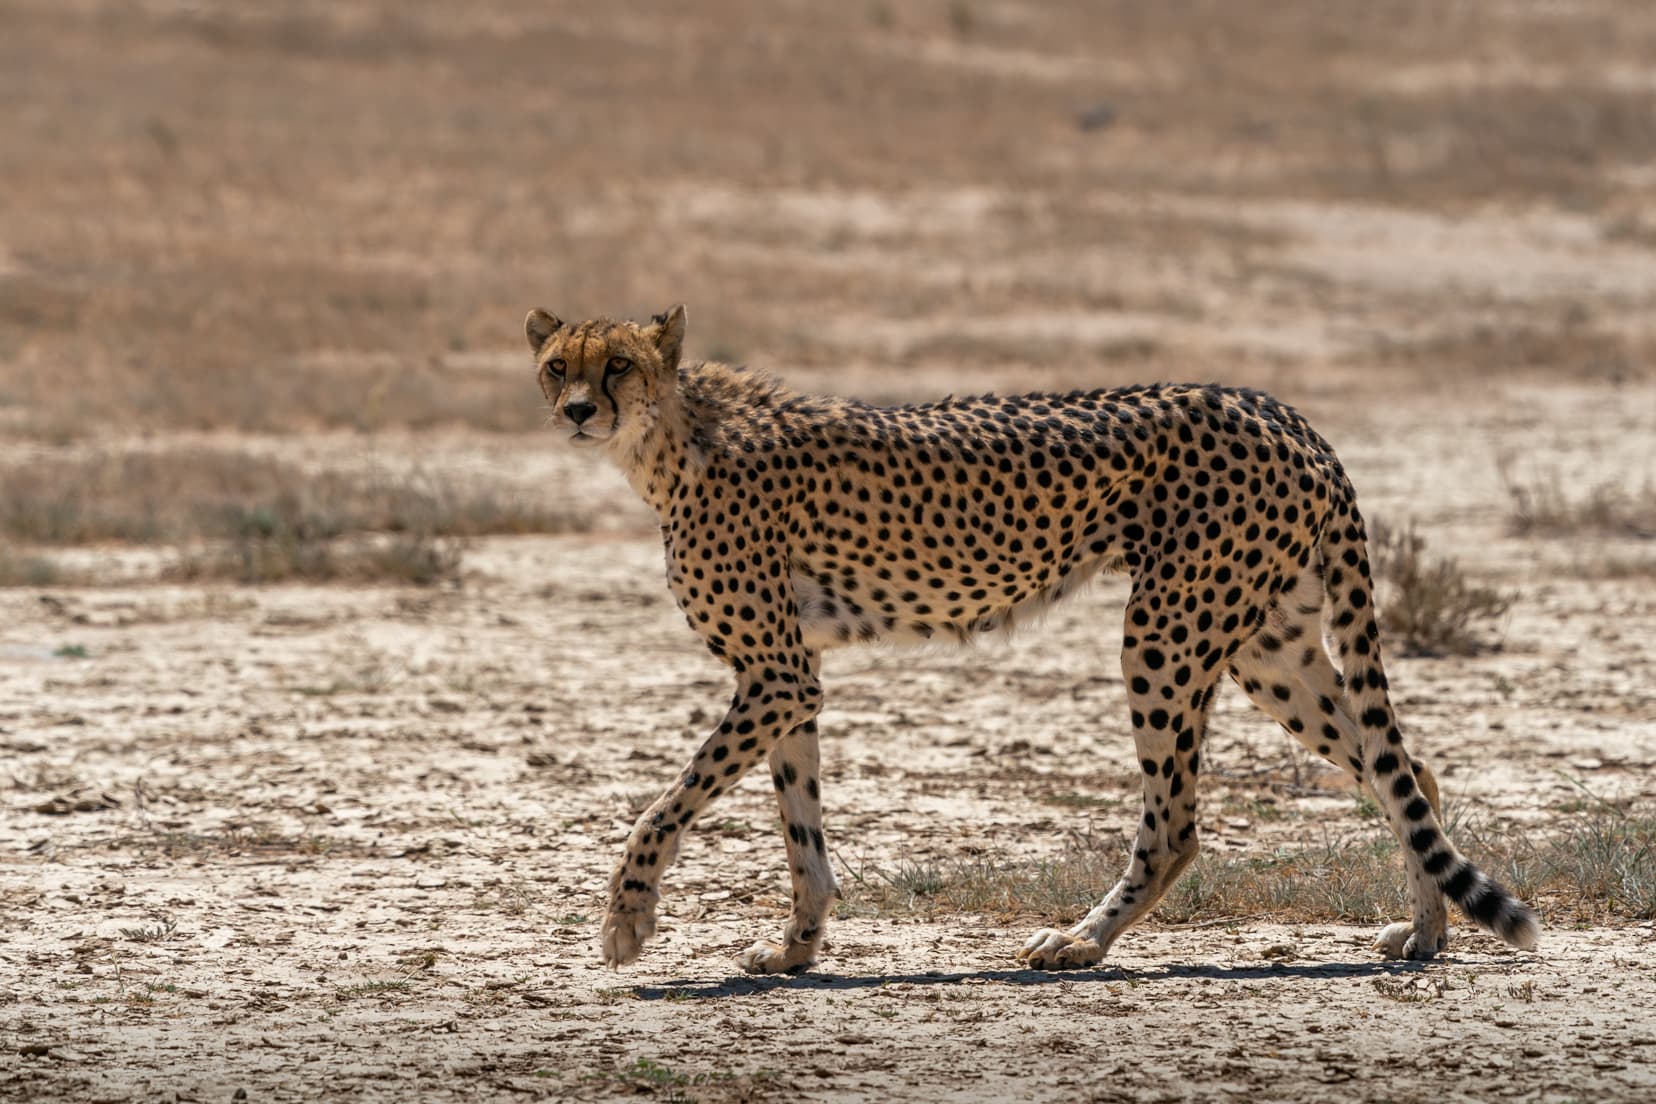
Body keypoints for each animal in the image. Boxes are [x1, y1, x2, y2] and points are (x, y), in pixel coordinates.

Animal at [526, 306, 1536, 973]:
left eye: (618, 365)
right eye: (557, 365)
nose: (576, 411)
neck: (671, 440)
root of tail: (1282, 411)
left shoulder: (774, 674)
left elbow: (665, 805)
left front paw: (626, 925)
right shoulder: (791, 676)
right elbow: (799, 822)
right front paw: (797, 950)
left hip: (1167, 630)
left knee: (1176, 823)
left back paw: (1082, 940)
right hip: (1265, 644)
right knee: (1404, 770)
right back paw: (1426, 934)